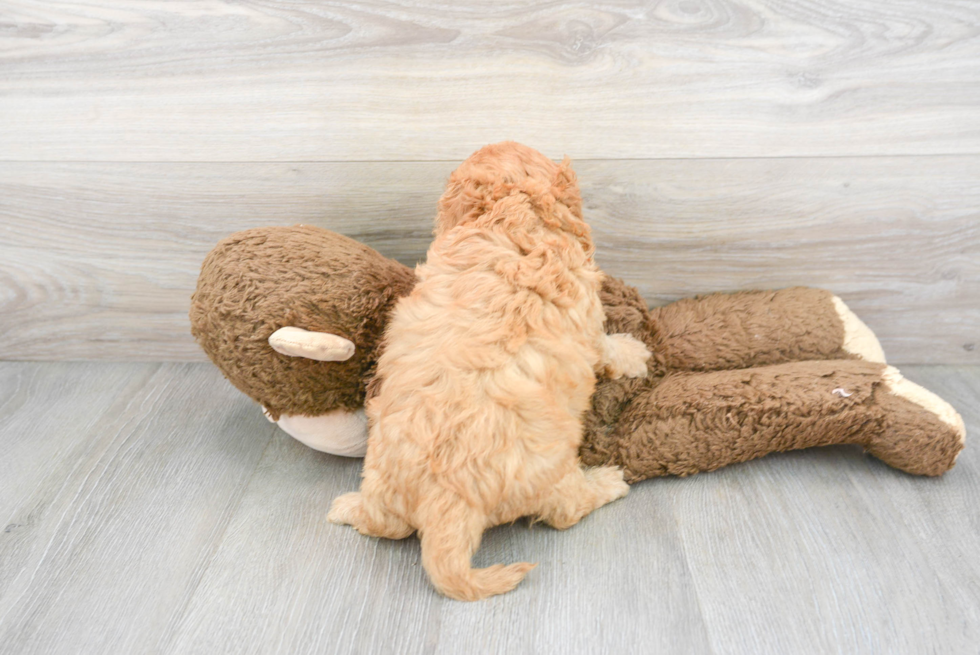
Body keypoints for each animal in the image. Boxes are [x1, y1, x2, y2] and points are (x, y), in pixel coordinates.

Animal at [328, 142, 652, 600]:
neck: (517, 217)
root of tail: (445, 503)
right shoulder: (589, 322)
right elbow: (606, 347)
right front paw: (633, 352)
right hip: (552, 473)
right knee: (566, 511)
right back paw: (607, 481)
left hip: (380, 476)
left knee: (382, 524)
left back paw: (347, 507)